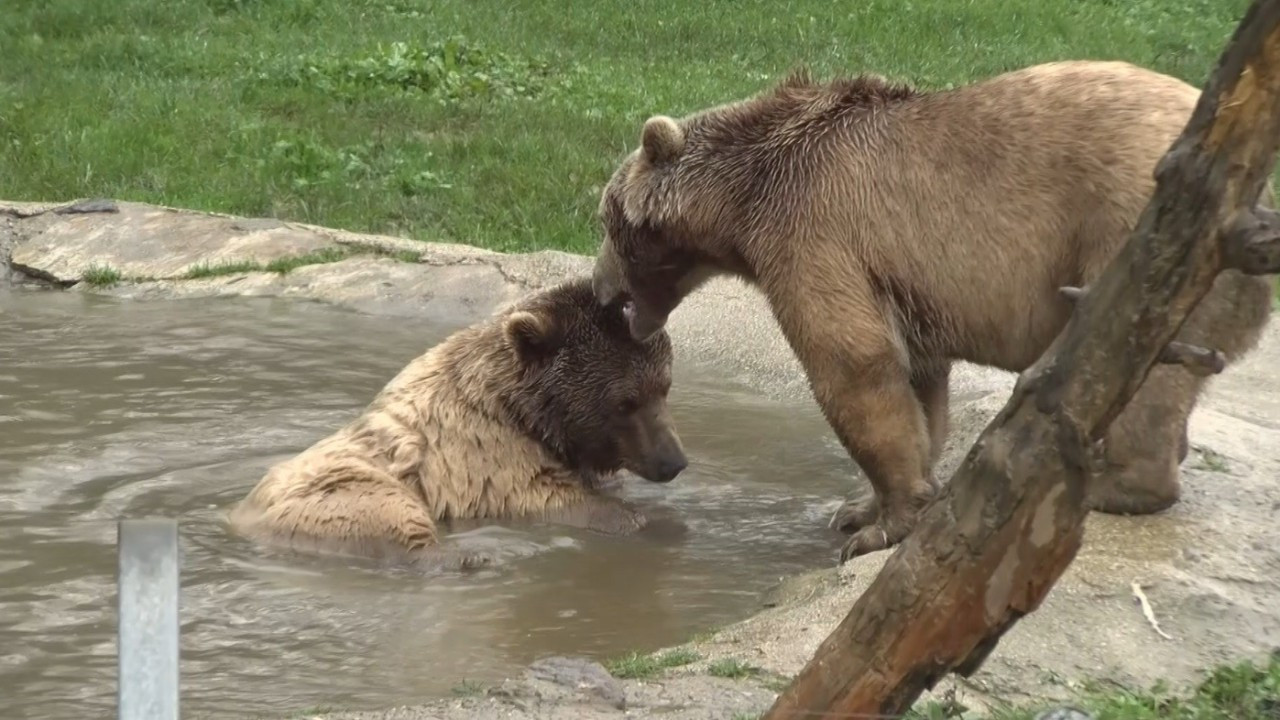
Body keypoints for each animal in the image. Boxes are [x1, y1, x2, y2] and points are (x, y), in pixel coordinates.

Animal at [230, 274, 691, 566]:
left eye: (664, 386)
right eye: (625, 403)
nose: (673, 462)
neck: (526, 412)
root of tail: (236, 517)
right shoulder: (483, 452)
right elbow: (543, 494)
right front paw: (639, 519)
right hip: (335, 489)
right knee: (384, 512)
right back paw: (468, 556)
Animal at [588, 58, 1269, 561]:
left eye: (607, 218)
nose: (600, 291)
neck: (742, 197)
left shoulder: (811, 230)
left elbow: (852, 363)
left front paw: (876, 527)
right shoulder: (900, 284)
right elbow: (919, 382)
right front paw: (863, 505)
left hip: (1134, 236)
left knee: (1143, 363)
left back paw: (1110, 481)